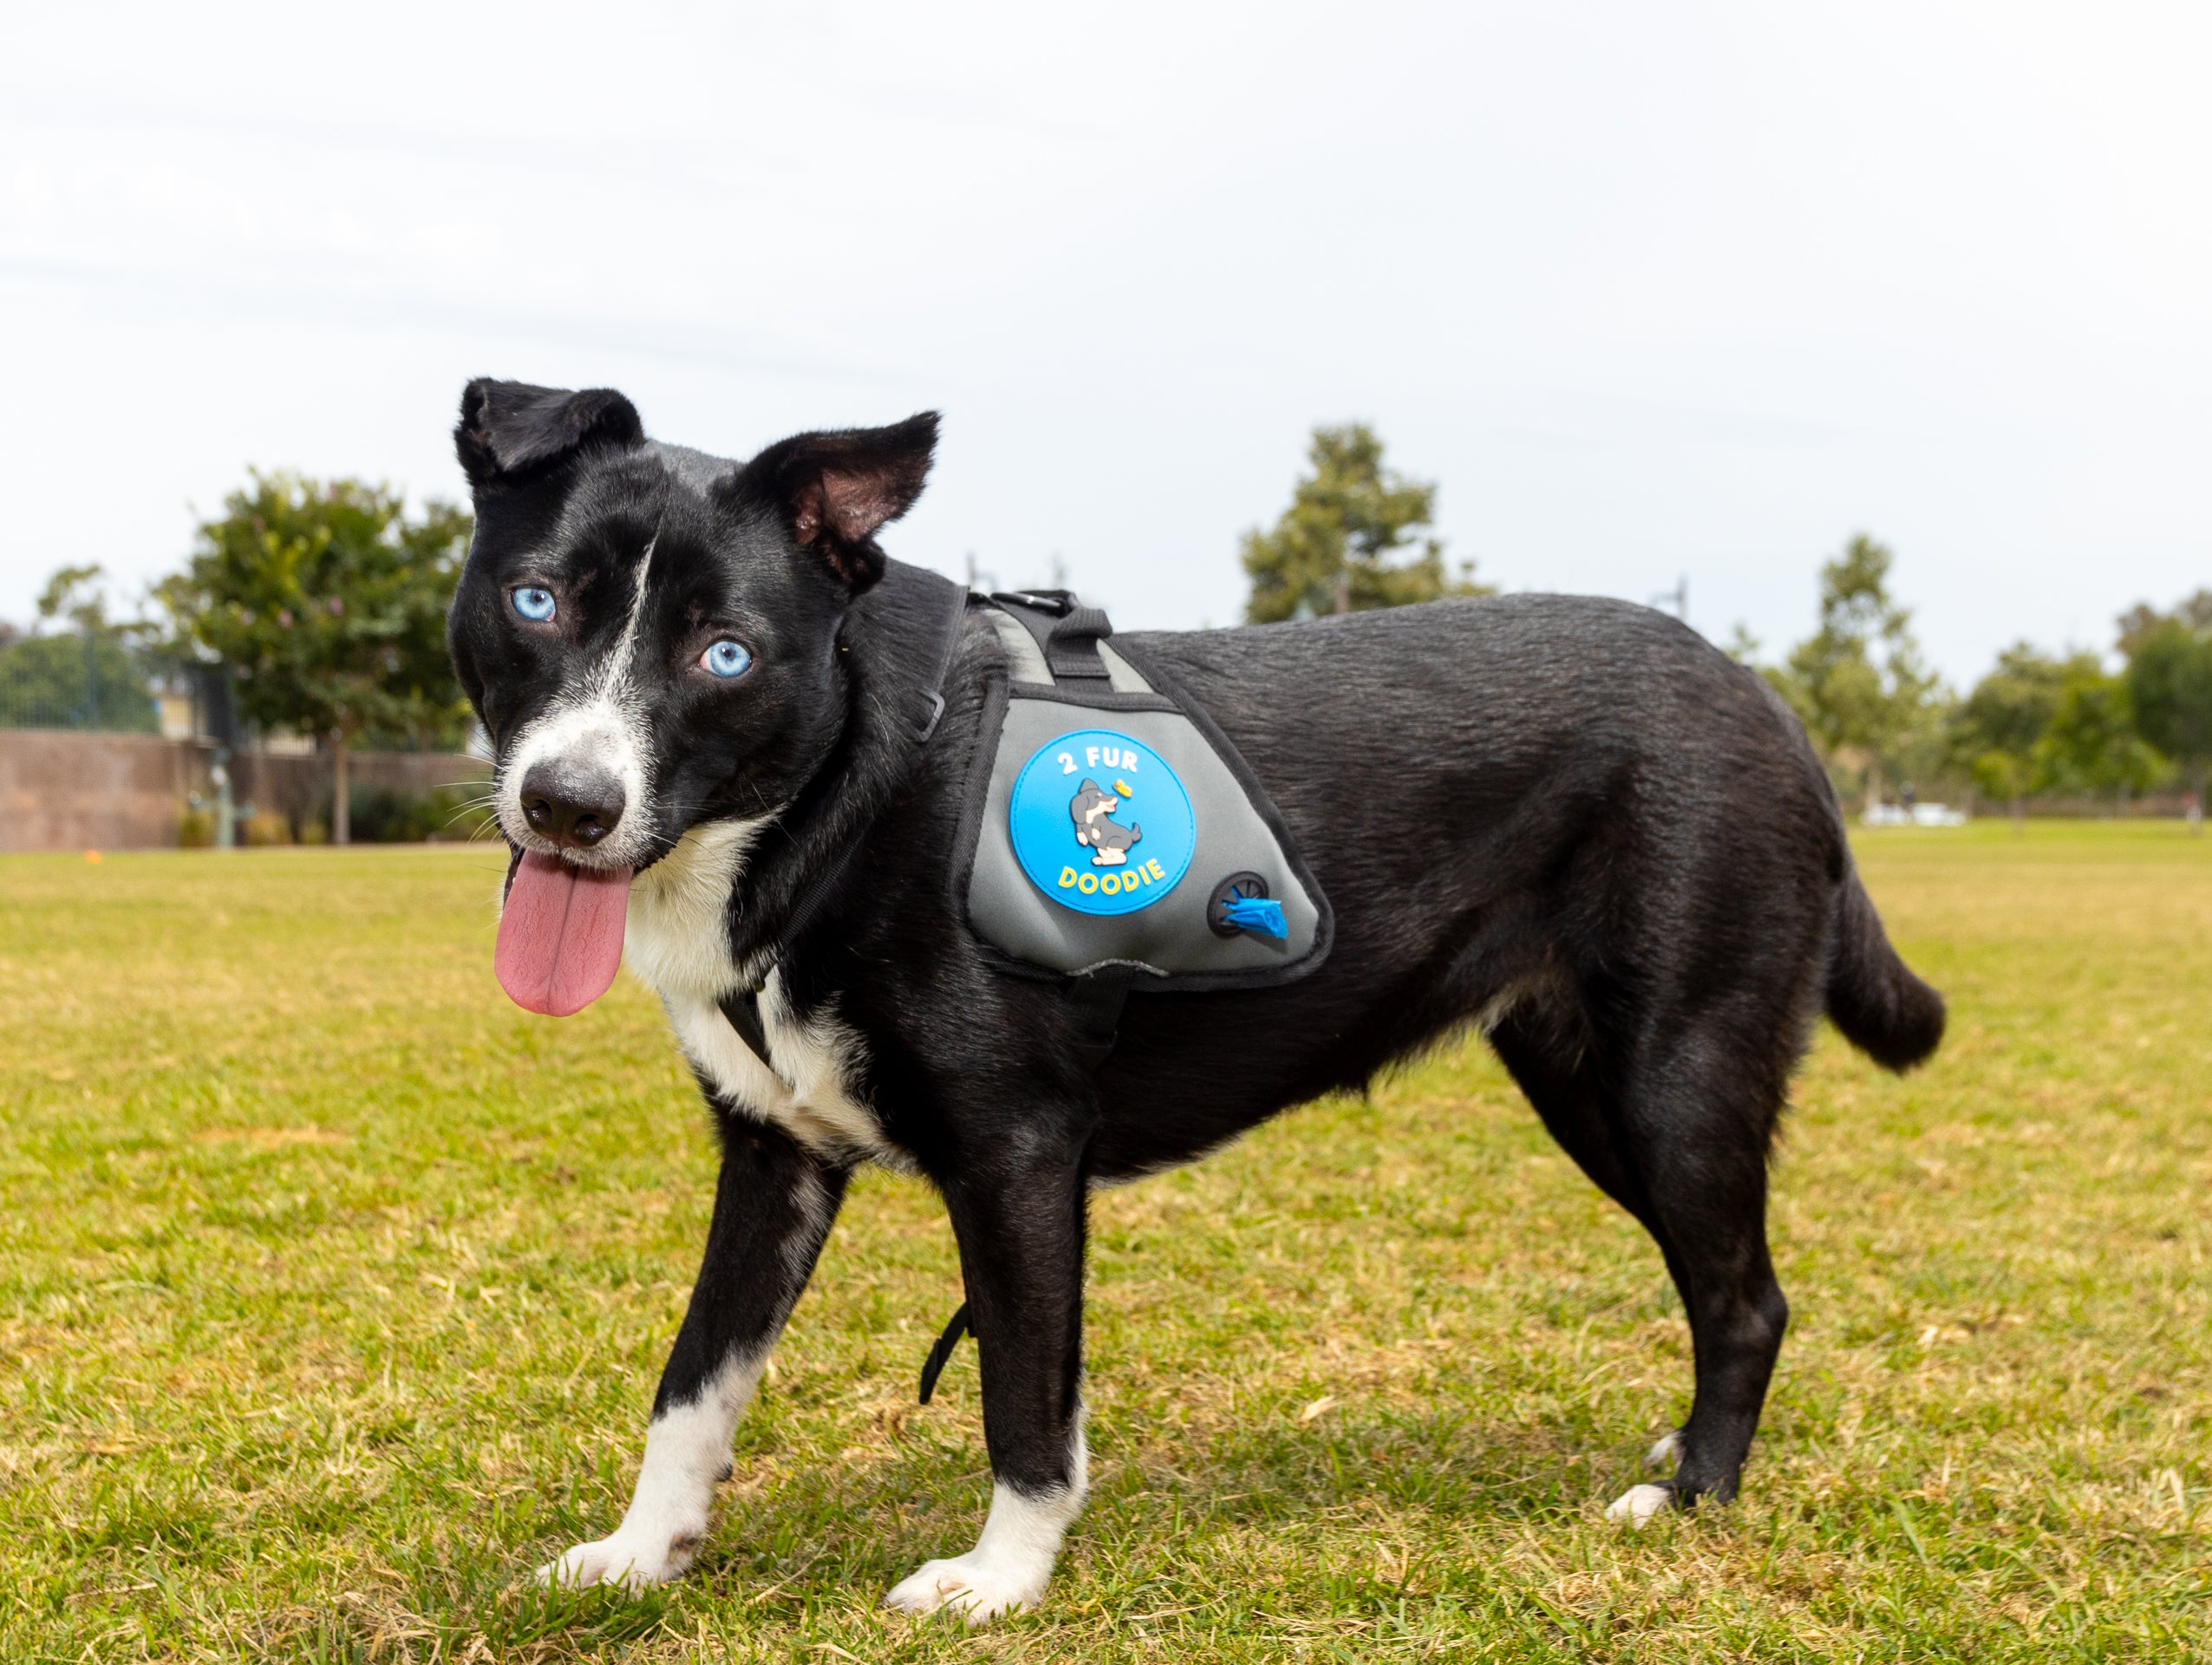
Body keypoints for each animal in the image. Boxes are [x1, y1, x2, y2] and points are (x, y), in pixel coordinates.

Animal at [444, 380, 1937, 1627]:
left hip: (1674, 1075)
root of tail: (1767, 702)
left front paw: (999, 1580)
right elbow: (693, 1382)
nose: (568, 804)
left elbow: (1021, 1398)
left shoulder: (1019, 1154)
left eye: (728, 656)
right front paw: (639, 1555)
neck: (854, 780)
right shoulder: (773, 1156)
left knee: (1744, 1302)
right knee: (1724, 1288)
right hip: (1585, 1084)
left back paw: (1689, 1496)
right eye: (535, 602)